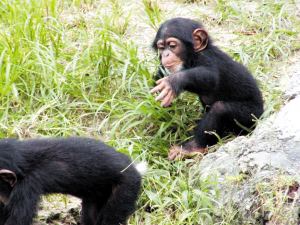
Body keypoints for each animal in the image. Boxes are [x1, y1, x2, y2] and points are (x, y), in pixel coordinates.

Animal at [150, 18, 262, 161]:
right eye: (161, 48)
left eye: (172, 45)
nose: (166, 54)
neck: (192, 58)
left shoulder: (206, 58)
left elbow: (210, 76)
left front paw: (173, 82)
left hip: (252, 115)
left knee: (220, 109)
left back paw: (191, 147)